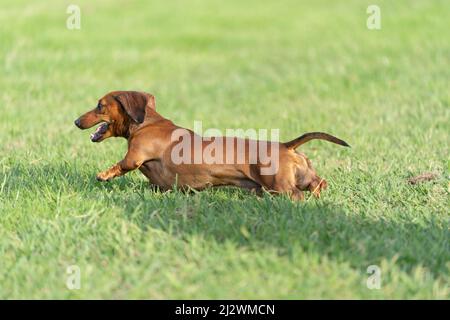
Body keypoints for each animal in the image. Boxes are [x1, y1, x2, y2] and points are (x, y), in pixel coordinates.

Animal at [74, 90, 350, 200]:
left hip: (279, 186)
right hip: (303, 175)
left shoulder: (135, 156)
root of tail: (285, 146)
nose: (76, 121)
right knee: (318, 183)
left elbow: (122, 165)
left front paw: (103, 174)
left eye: (99, 105)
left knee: (296, 196)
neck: (147, 123)